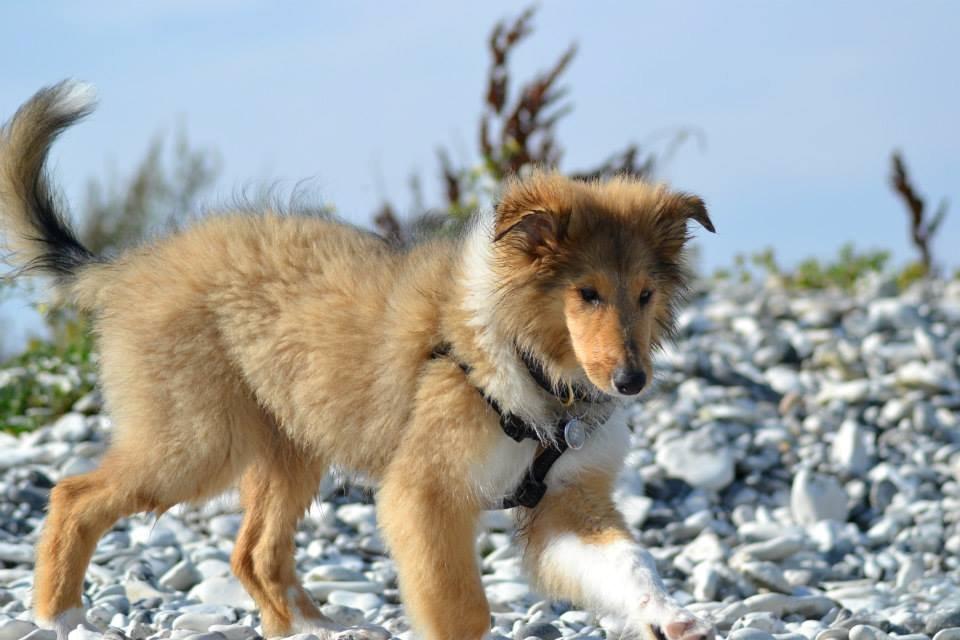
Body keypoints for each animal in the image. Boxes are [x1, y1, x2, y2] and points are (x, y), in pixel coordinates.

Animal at [0, 84, 716, 640]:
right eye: (586, 293)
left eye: (644, 295)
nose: (631, 381)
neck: (525, 358)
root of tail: (128, 265)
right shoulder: (423, 494)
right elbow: (461, 609)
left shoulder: (565, 501)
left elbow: (630, 560)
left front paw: (668, 613)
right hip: (197, 442)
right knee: (74, 495)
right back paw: (58, 617)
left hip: (290, 443)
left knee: (253, 553)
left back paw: (314, 628)